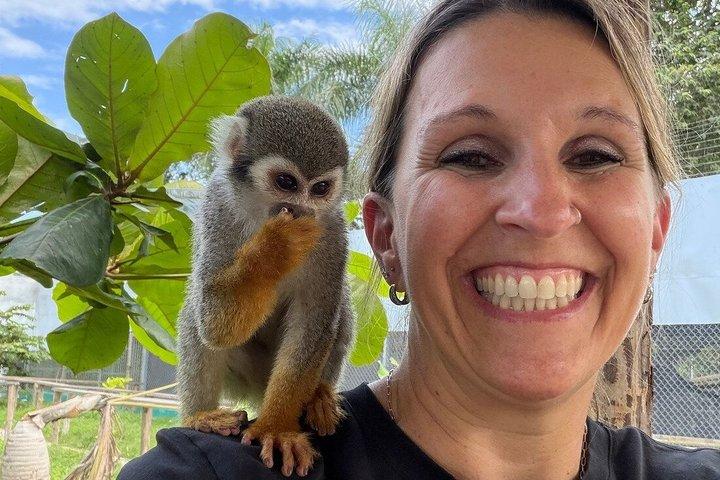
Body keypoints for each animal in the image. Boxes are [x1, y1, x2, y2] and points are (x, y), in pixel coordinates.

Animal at [176, 95, 354, 478]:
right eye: (286, 182)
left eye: (320, 189)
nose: (301, 211)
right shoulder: (218, 206)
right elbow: (214, 322)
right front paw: (277, 247)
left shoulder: (331, 228)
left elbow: (313, 322)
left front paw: (277, 427)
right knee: (195, 316)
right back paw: (199, 416)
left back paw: (319, 396)